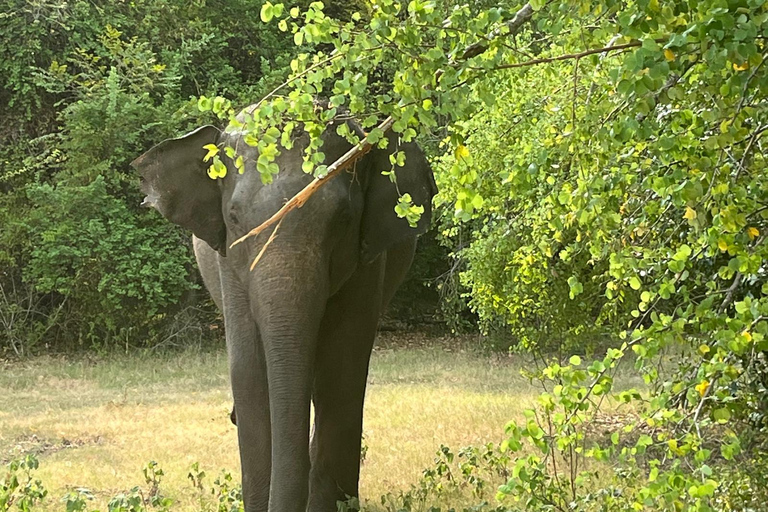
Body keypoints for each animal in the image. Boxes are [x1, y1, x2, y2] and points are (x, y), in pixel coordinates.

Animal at [129, 112, 436, 512]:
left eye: (343, 219)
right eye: (233, 217)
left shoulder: (368, 262)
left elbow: (342, 367)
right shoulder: (229, 264)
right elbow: (250, 371)